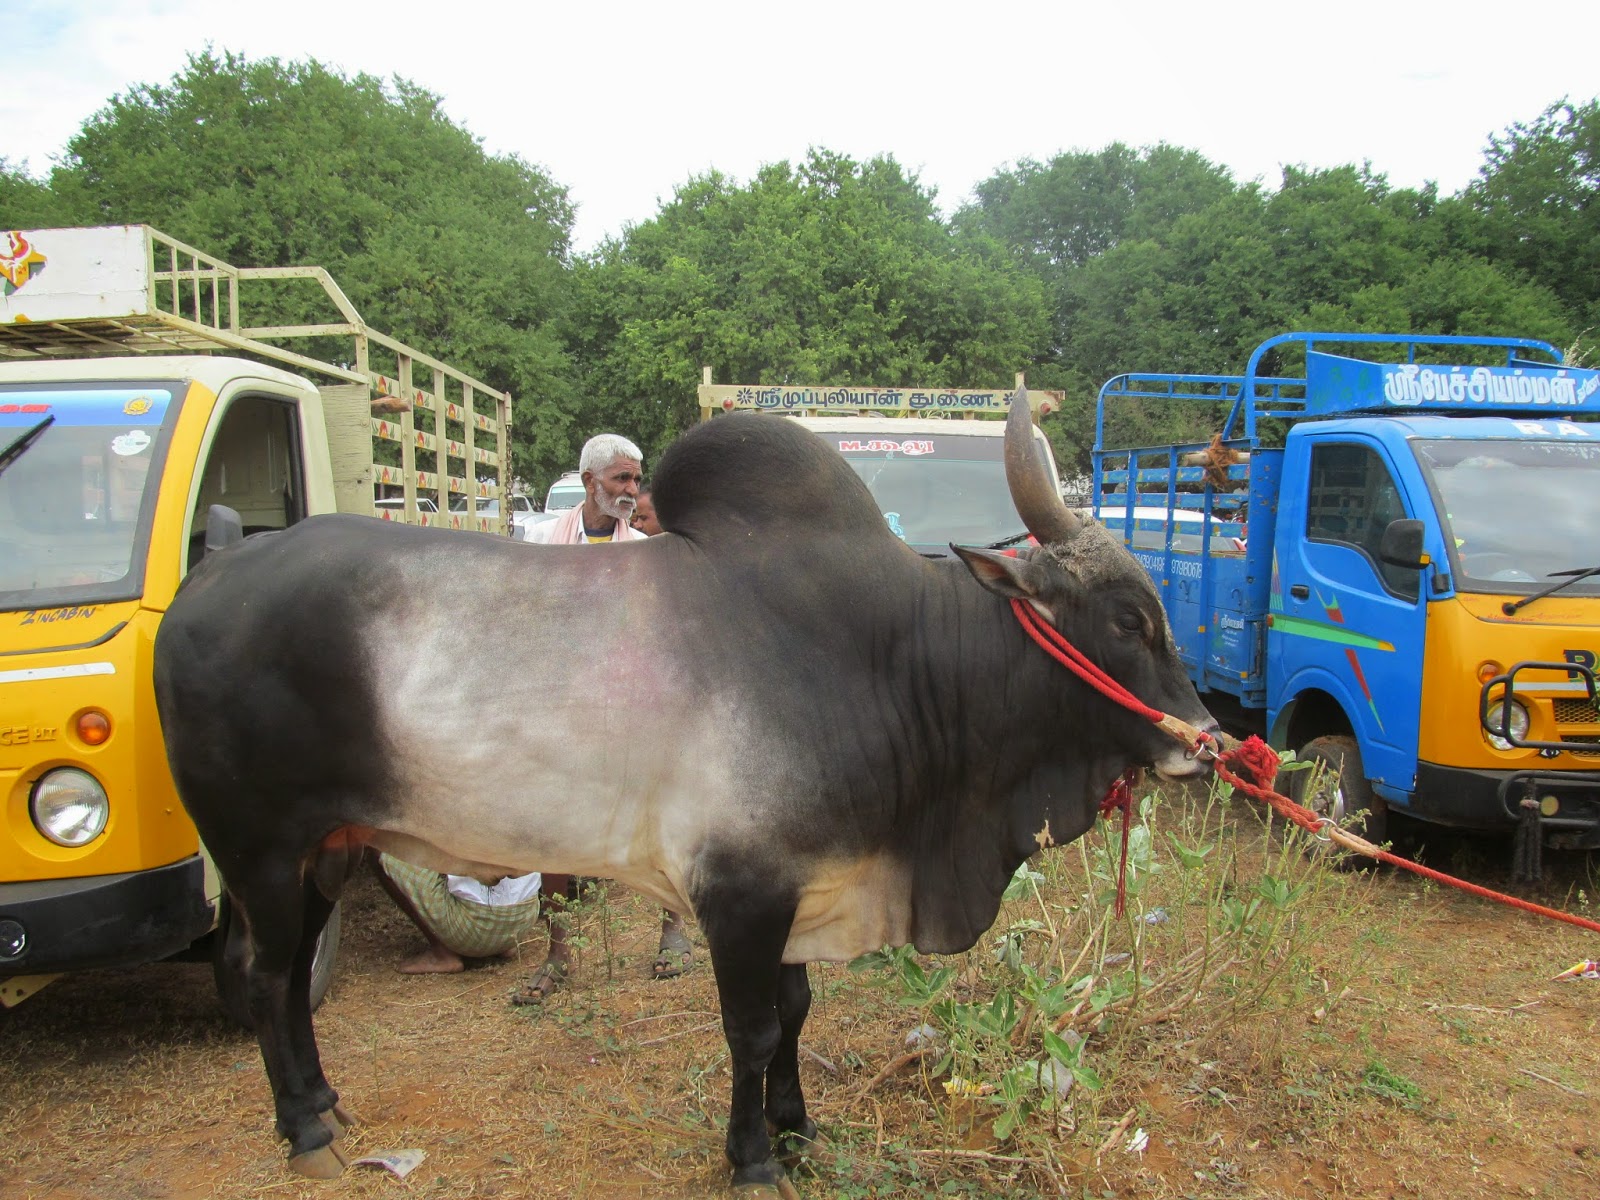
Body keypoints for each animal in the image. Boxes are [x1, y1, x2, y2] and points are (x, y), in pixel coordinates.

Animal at [156, 392, 1216, 1196]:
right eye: (1129, 619)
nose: (1205, 743)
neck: (896, 660)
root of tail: (205, 579)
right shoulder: (741, 893)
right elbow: (752, 1028)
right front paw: (753, 1158)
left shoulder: (800, 890)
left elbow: (795, 1012)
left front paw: (798, 1131)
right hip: (258, 849)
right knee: (265, 974)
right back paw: (304, 1130)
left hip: (325, 850)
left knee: (289, 973)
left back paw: (325, 1107)